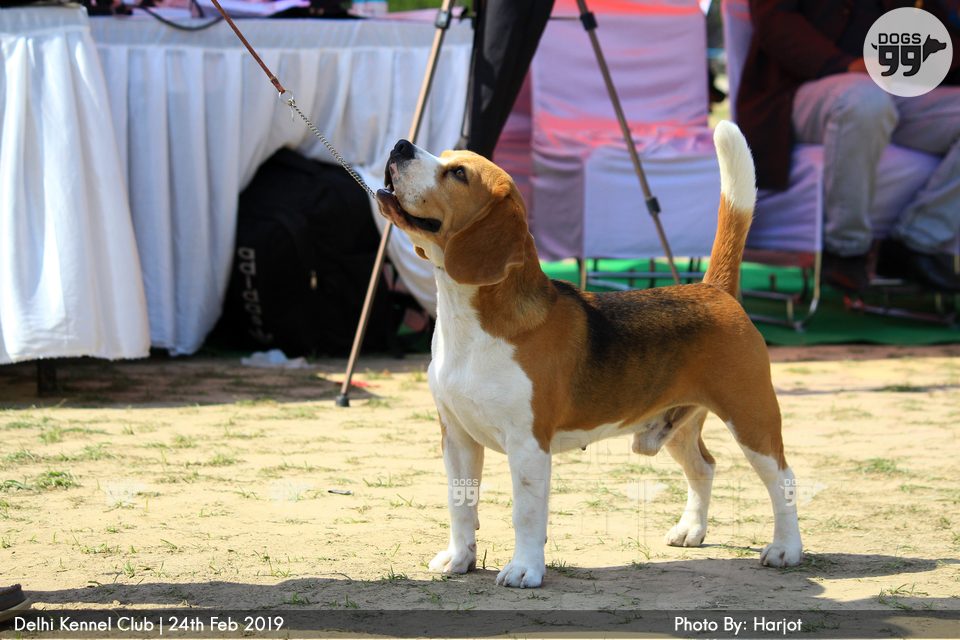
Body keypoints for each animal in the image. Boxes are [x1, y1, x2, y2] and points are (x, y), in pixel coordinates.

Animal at [375, 121, 803, 588]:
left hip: (751, 418)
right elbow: (460, 504)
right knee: (704, 467)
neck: (470, 323)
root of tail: (713, 289)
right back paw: (691, 529)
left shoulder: (528, 443)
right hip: (676, 424)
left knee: (783, 478)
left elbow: (526, 514)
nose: (399, 146)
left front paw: (524, 569)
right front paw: (458, 558)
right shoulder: (456, 436)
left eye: (458, 174)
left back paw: (786, 549)